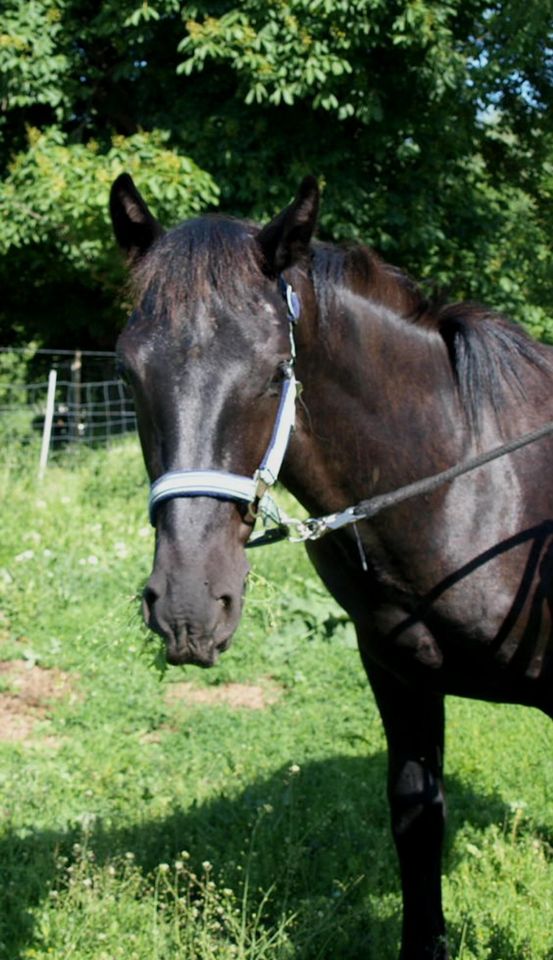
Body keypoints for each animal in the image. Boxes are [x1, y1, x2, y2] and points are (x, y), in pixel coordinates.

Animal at [110, 174, 548, 960]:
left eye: (273, 372)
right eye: (129, 371)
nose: (188, 607)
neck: (471, 487)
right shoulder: (399, 673)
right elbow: (416, 818)